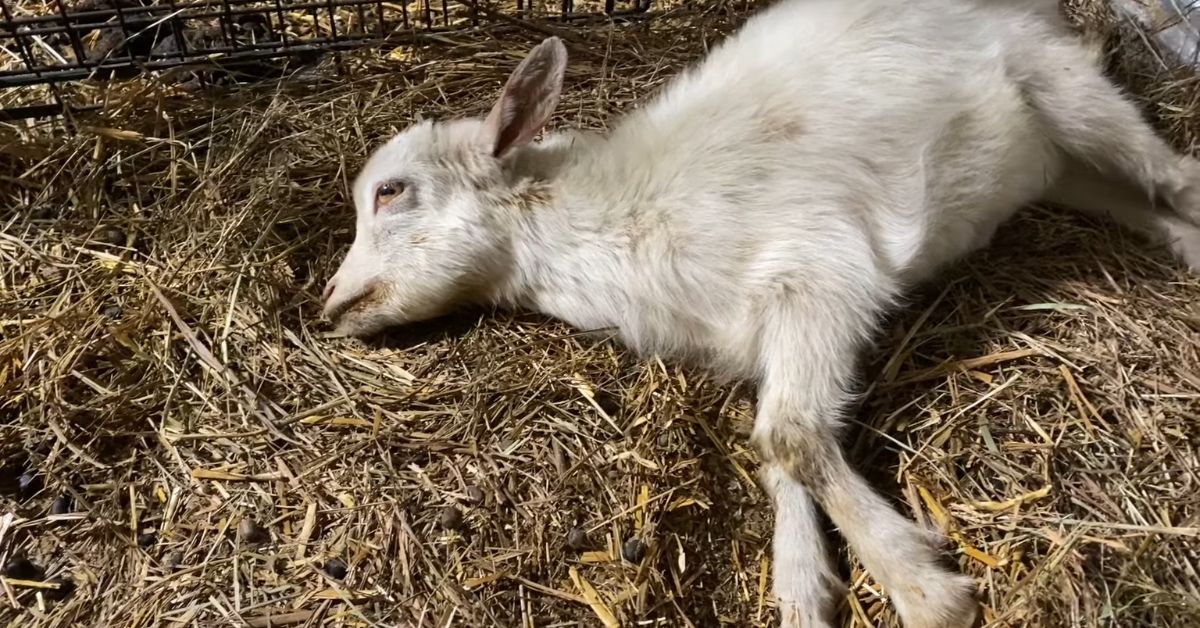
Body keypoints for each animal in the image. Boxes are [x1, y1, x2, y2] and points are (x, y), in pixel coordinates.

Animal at [320, 0, 1200, 625]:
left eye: (391, 192)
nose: (330, 304)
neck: (604, 220)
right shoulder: (755, 340)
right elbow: (779, 444)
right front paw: (804, 589)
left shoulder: (821, 273)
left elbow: (789, 436)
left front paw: (922, 589)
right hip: (1053, 162)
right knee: (1133, 197)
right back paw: (1186, 247)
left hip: (1062, 83)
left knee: (1172, 172)